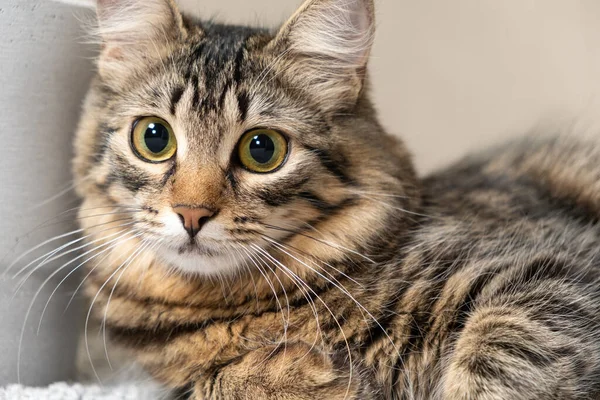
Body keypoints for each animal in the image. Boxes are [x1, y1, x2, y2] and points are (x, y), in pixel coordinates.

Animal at [69, 0, 600, 398]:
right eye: (154, 138)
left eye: (262, 149)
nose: (191, 213)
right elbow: (211, 383)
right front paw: (304, 375)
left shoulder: (547, 277)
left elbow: (496, 361)